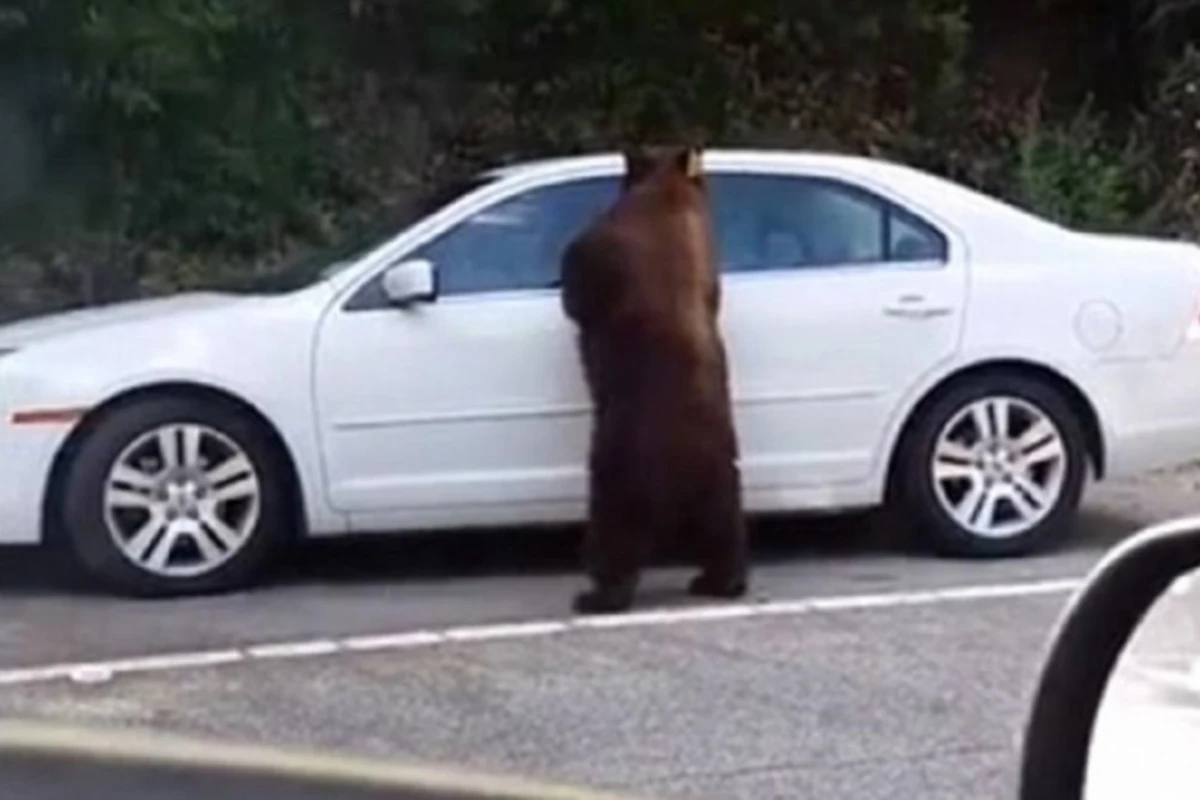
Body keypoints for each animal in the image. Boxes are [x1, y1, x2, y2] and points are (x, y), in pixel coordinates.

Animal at [559, 144, 749, 615]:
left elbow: (580, 282)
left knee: (611, 537)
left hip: (618, 469)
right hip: (723, 479)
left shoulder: (613, 247)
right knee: (726, 532)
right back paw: (719, 580)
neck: (669, 199)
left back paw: (596, 594)